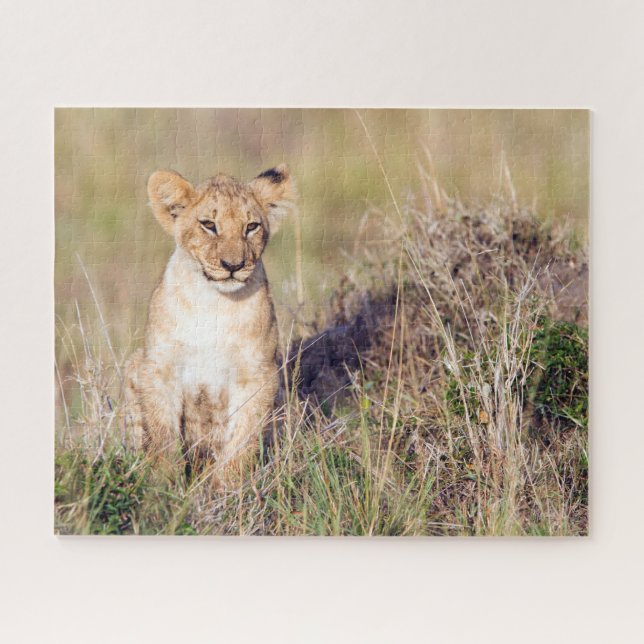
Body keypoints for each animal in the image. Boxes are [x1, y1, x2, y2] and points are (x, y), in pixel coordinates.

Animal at [124, 164, 297, 485]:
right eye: (208, 225)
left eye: (251, 226)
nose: (233, 266)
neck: (214, 303)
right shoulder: (159, 367)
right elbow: (162, 434)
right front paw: (164, 485)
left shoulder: (257, 373)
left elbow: (242, 438)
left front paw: (227, 488)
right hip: (134, 363)